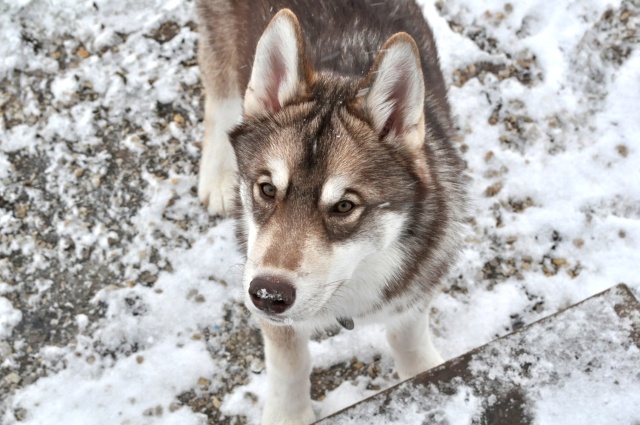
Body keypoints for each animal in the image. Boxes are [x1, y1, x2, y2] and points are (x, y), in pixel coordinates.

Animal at [195, 1, 464, 422]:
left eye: (344, 206)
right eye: (267, 189)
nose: (268, 294)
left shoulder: (417, 285)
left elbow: (407, 337)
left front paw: (425, 374)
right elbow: (289, 363)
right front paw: (288, 415)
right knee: (218, 88)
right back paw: (218, 172)